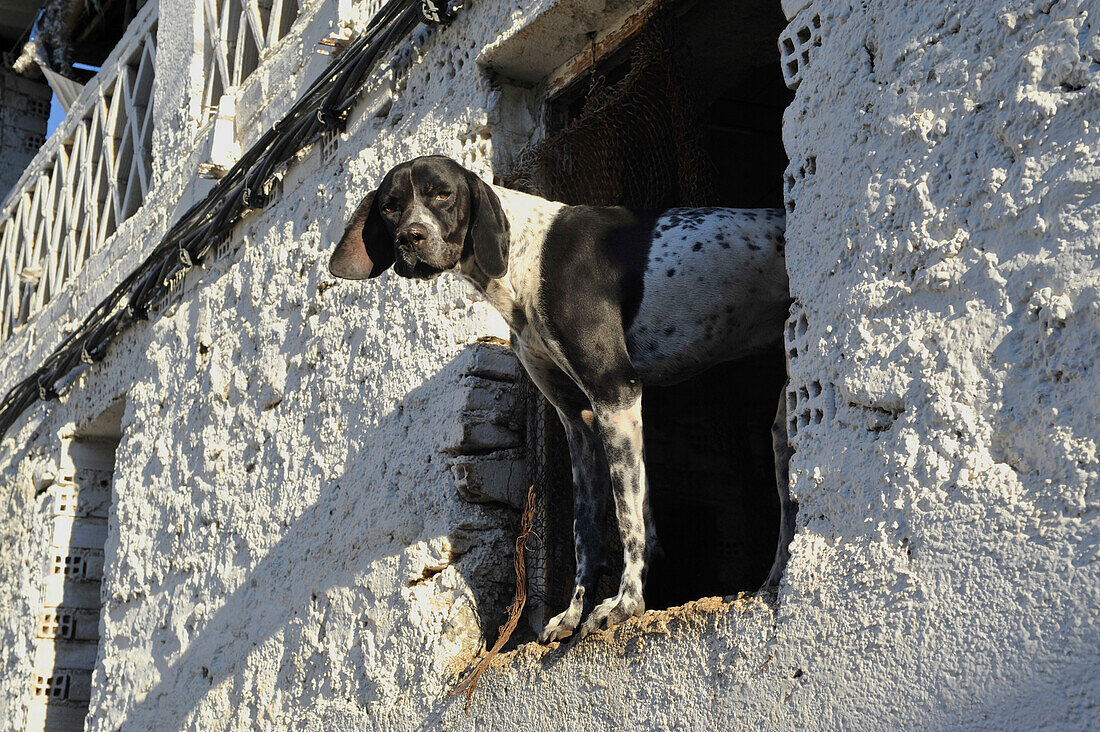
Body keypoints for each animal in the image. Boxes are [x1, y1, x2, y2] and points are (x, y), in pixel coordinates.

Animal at [325, 153, 792, 638]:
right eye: (390, 206)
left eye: (443, 194)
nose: (409, 238)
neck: (525, 260)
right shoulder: (578, 421)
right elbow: (586, 527)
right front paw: (573, 611)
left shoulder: (614, 392)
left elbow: (628, 519)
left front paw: (626, 604)